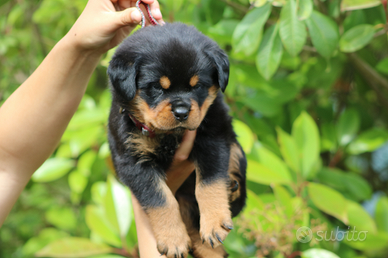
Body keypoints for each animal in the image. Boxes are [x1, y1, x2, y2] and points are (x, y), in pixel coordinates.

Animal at [107, 22, 246, 258]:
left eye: (197, 86)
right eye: (157, 87)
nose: (181, 112)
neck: (169, 135)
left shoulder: (214, 136)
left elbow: (209, 182)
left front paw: (215, 222)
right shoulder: (132, 161)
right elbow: (160, 200)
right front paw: (173, 240)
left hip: (235, 148)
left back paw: (232, 189)